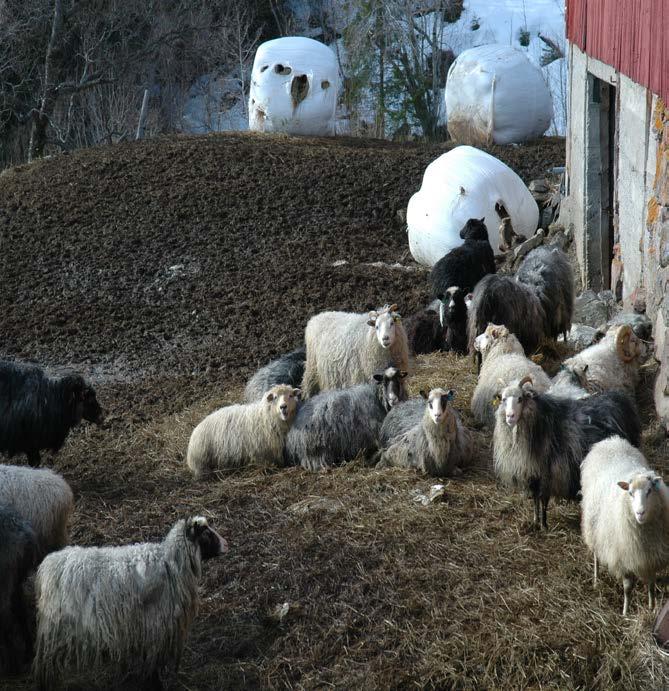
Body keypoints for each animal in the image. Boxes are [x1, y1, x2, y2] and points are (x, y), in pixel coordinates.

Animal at [32, 516, 227, 688]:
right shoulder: (157, 625)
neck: (171, 564)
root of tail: (49, 566)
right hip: (56, 629)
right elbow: (153, 662)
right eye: (206, 534)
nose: (226, 544)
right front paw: (154, 683)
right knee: (46, 663)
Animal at [494, 376, 640, 528]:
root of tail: (619, 397)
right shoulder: (532, 473)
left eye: (520, 398)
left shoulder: (548, 473)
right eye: (503, 399)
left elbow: (543, 500)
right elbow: (535, 499)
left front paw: (544, 524)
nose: (510, 416)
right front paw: (535, 521)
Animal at [580, 438, 668, 616]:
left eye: (649, 491)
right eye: (630, 493)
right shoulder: (623, 557)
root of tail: (611, 440)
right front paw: (625, 612)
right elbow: (628, 588)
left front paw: (652, 606)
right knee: (596, 554)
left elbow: (651, 583)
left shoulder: (650, 557)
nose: (640, 512)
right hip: (594, 529)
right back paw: (596, 579)